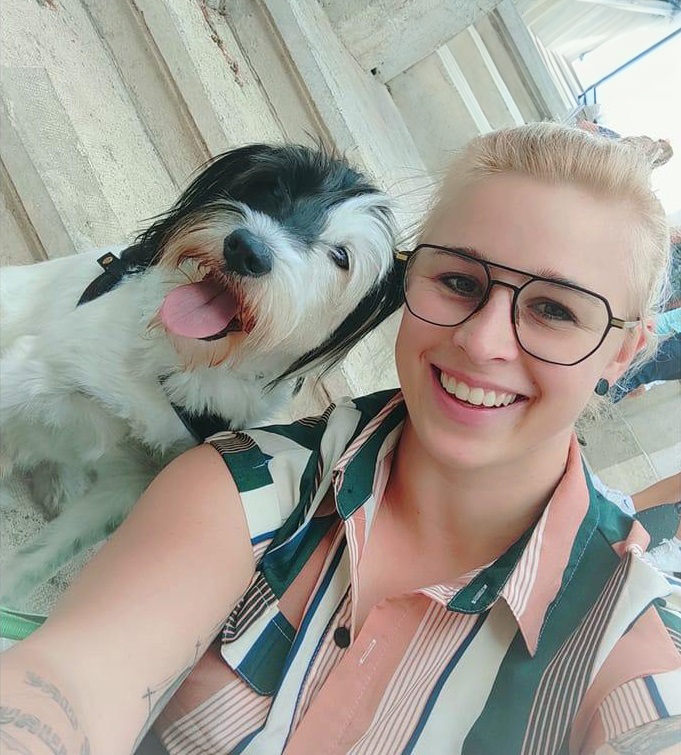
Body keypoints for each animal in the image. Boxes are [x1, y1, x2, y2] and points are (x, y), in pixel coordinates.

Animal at [0, 143, 403, 606]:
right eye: (274, 188)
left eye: (341, 257)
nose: (246, 249)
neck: (184, 363)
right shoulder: (34, 373)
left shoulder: (131, 480)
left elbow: (38, 560)